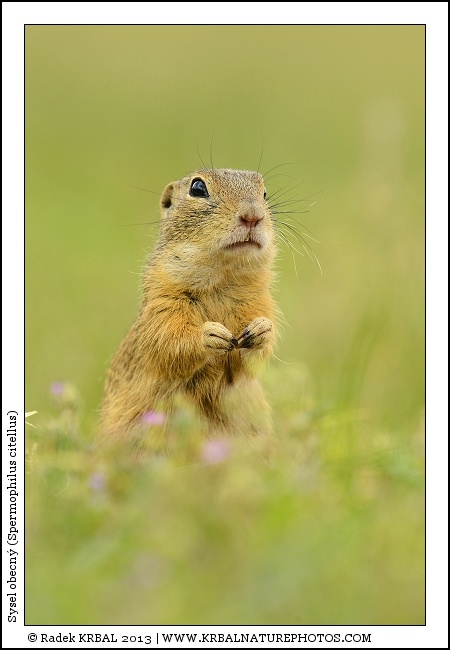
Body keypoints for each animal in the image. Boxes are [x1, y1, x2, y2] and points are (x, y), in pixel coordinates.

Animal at [99, 168, 277, 450]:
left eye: (264, 193)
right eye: (197, 188)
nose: (253, 215)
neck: (220, 279)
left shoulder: (261, 301)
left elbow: (253, 362)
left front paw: (261, 330)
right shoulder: (163, 303)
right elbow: (169, 341)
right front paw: (211, 335)